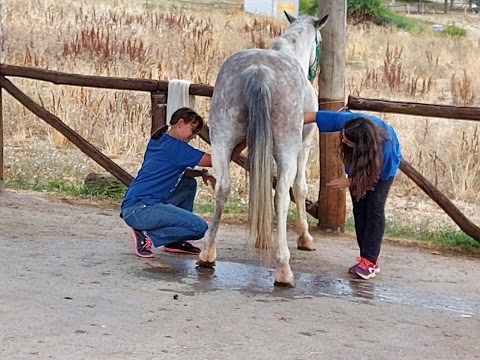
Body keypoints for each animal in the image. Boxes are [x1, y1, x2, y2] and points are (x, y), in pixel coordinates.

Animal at [197, 11, 328, 286]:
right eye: (320, 42)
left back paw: (207, 253)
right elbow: (299, 189)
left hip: (221, 142)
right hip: (288, 149)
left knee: (222, 188)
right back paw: (283, 269)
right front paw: (305, 238)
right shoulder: (304, 145)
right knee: (282, 196)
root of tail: (259, 71)